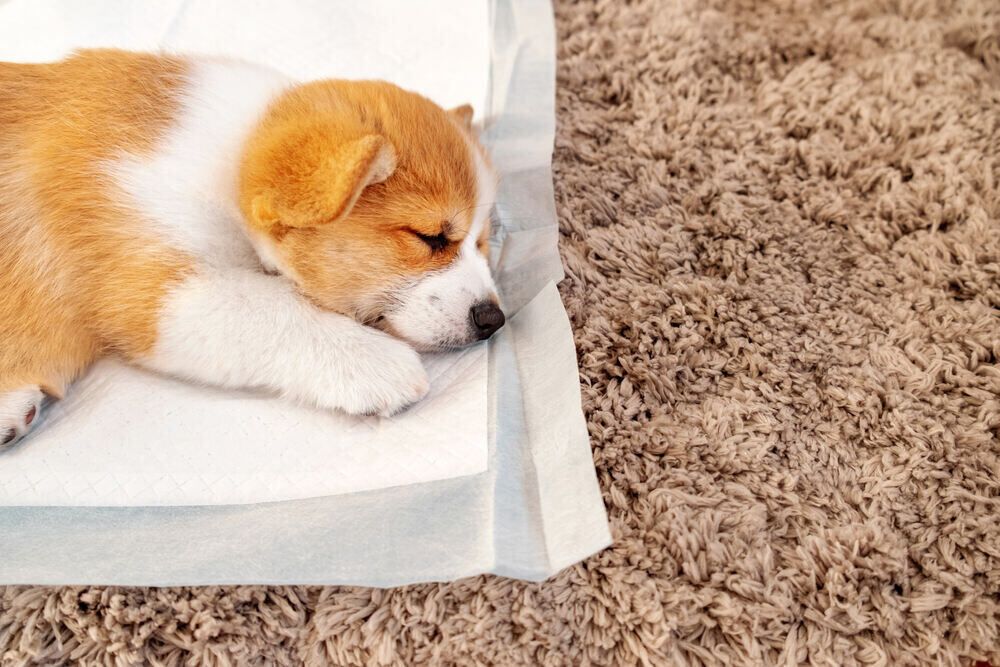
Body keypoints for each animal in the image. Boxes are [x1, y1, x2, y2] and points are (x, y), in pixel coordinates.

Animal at [0, 49, 504, 452]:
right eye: (430, 238)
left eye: (480, 242)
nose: (493, 320)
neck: (229, 161)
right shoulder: (151, 289)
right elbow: (270, 308)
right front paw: (375, 363)